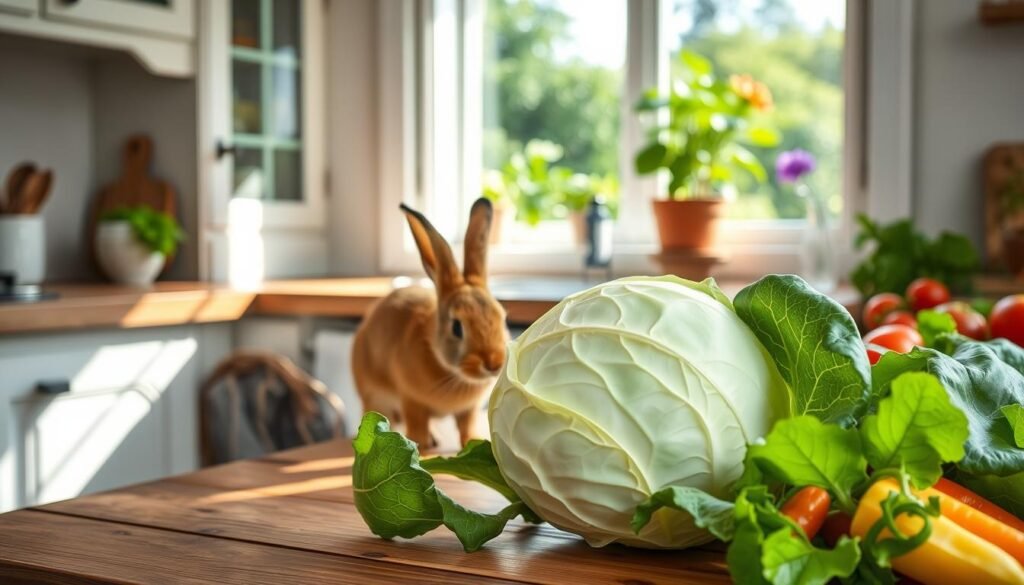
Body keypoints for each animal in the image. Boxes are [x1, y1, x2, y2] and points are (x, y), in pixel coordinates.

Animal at [354, 196, 509, 448]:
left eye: (502, 317)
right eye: (457, 327)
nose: (493, 363)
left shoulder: (469, 409)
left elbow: (466, 426)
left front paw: (472, 441)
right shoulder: (411, 399)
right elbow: (416, 422)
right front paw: (421, 446)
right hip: (376, 398)